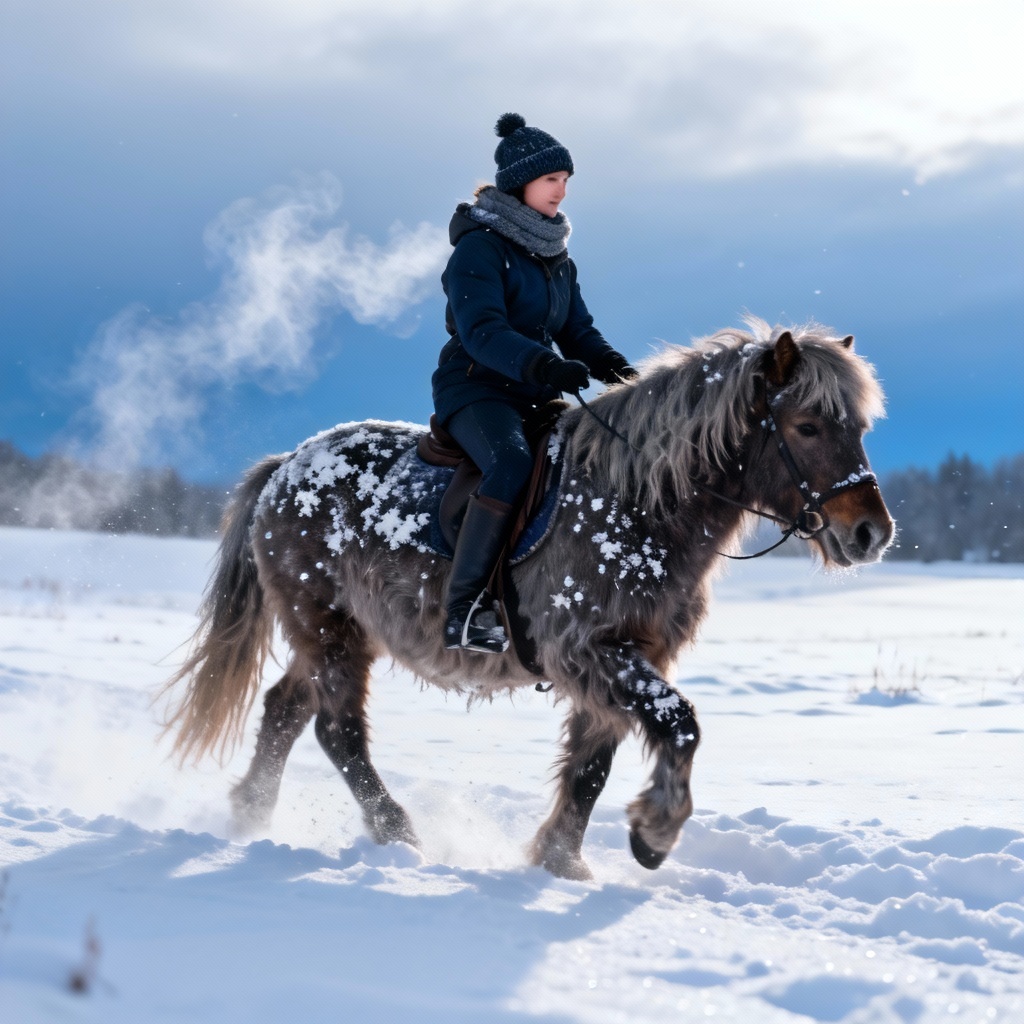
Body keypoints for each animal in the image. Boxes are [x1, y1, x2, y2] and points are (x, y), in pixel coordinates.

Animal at [164, 317, 893, 879]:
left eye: (858, 427)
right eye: (807, 426)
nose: (871, 533)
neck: (639, 506)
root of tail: (284, 468)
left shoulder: (630, 654)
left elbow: (593, 765)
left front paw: (562, 860)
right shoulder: (588, 651)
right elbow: (679, 722)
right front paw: (654, 834)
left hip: (336, 634)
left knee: (286, 710)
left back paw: (251, 813)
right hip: (329, 629)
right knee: (336, 730)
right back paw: (397, 833)